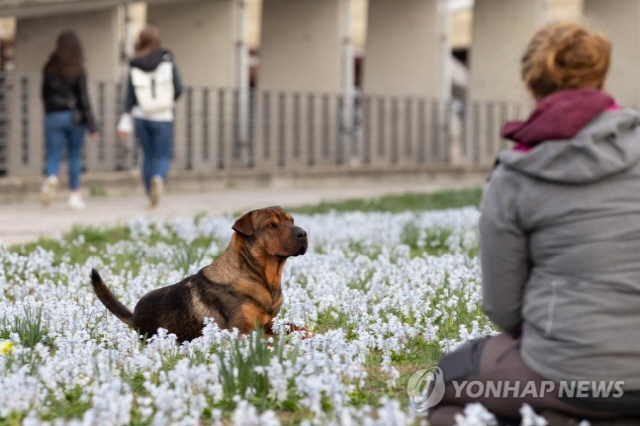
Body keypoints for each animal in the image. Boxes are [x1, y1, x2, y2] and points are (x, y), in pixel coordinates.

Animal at [90, 206, 308, 342]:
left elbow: (297, 327)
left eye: (292, 220)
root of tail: (134, 316)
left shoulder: (271, 323)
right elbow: (271, 338)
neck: (264, 278)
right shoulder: (241, 331)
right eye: (271, 225)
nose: (303, 233)